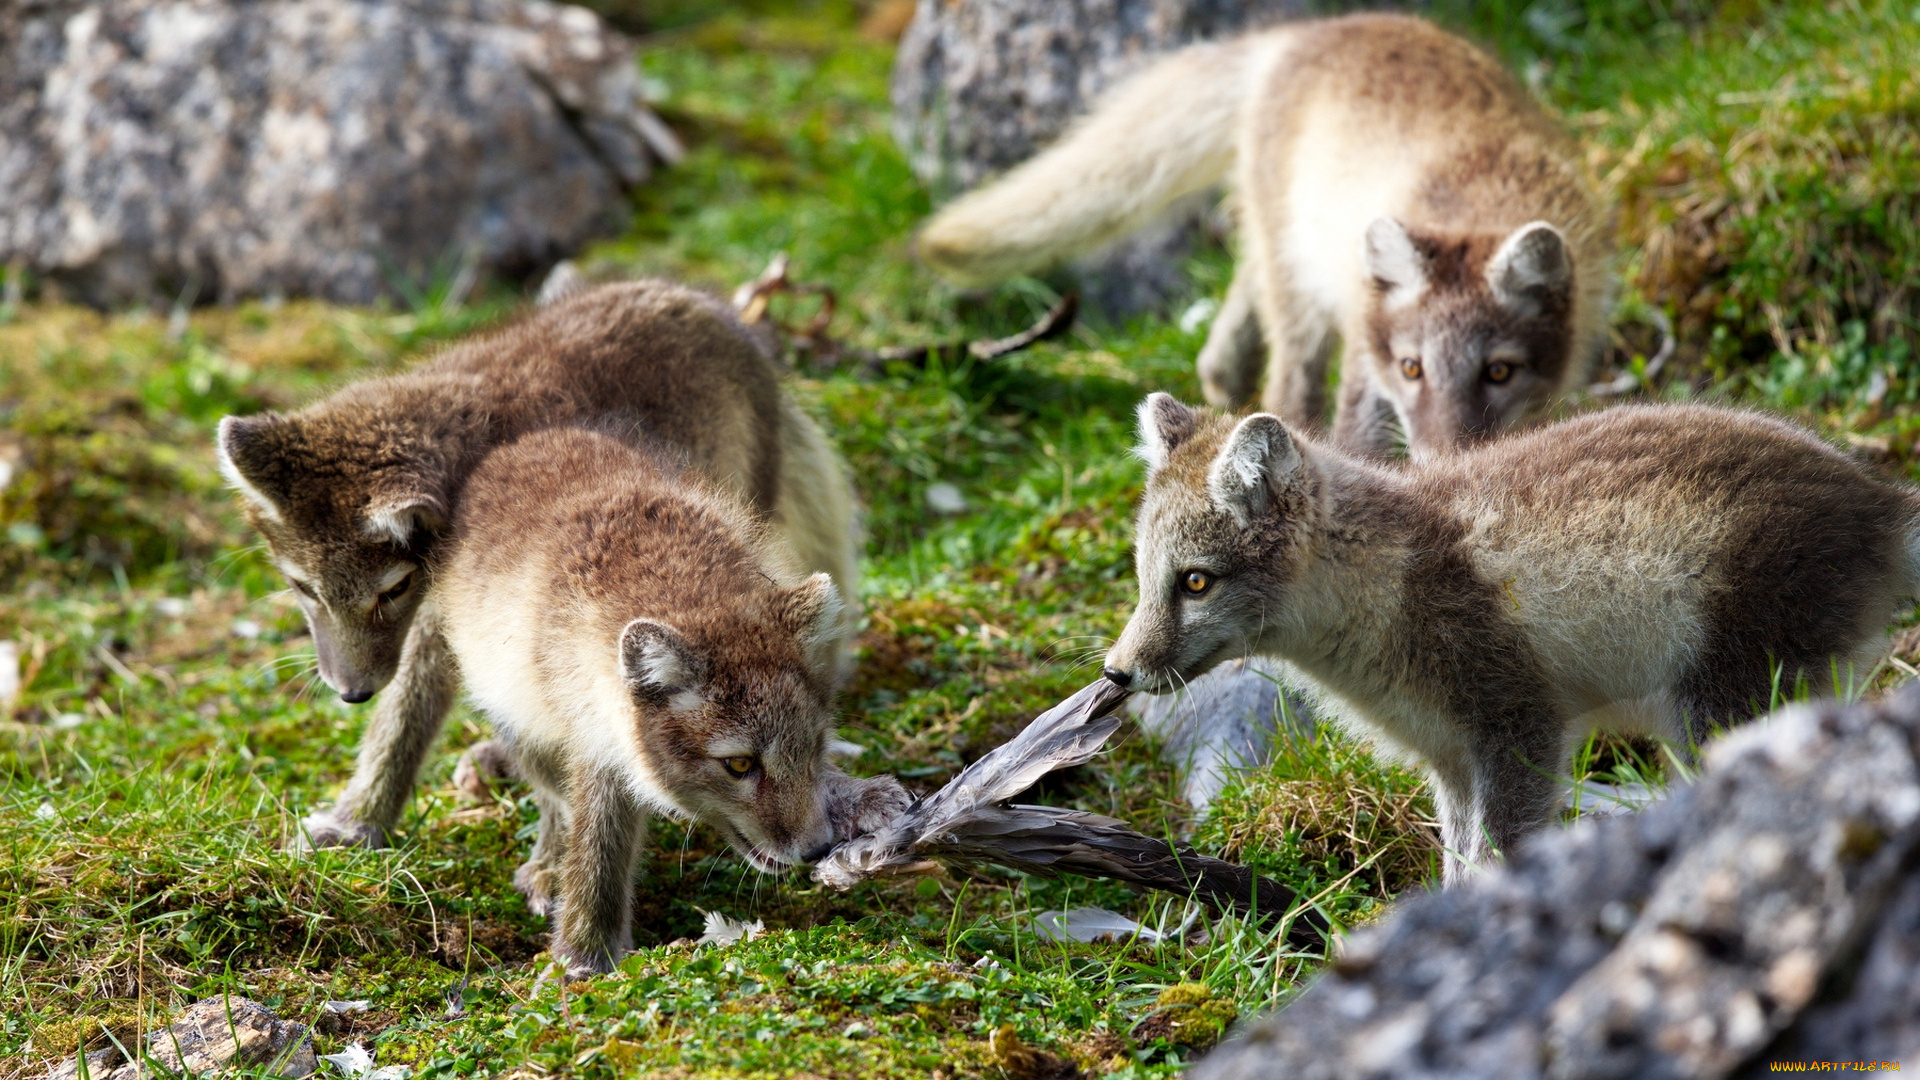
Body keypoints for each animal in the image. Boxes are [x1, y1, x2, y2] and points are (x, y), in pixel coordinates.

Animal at [216, 284, 864, 849]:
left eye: (392, 590)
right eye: (304, 588)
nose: (350, 693)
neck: (471, 442)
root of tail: (704, 302)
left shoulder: (462, 614)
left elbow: (407, 710)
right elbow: (405, 713)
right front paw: (357, 821)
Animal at [441, 428, 906, 976]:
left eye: (814, 748)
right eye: (739, 765)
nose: (817, 850)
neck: (678, 585)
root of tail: (531, 440)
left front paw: (857, 795)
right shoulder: (598, 741)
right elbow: (598, 851)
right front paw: (584, 957)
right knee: (552, 795)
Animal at [921, 13, 1612, 457]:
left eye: (1499, 371)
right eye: (1412, 368)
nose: (1444, 460)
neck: (1475, 198)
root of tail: (1302, 34)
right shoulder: (1365, 358)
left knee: (1248, 276)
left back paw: (1222, 368)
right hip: (1300, 287)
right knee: (1286, 384)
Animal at [1113, 390, 1920, 880]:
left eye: (1195, 582)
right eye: (1144, 574)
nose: (1116, 675)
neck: (1388, 579)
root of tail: (1878, 502)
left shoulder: (1518, 724)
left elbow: (1501, 850)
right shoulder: (1451, 760)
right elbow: (1458, 860)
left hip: (1718, 705)